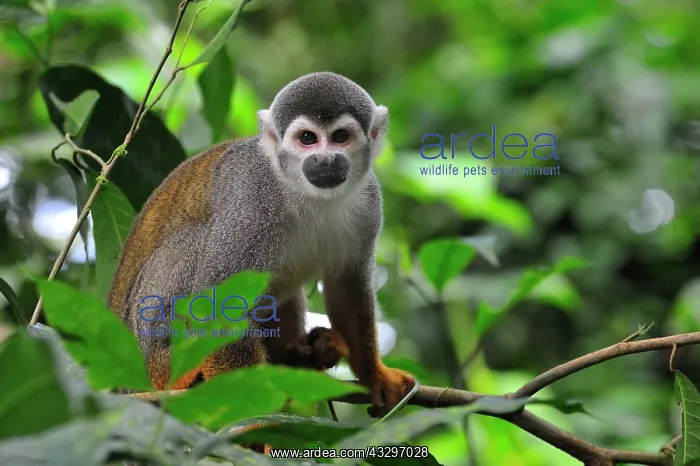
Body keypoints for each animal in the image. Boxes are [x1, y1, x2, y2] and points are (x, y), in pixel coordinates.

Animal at [107, 71, 416, 418]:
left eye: (340, 137)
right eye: (307, 139)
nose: (324, 160)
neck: (304, 193)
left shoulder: (369, 203)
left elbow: (346, 287)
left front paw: (374, 375)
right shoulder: (251, 202)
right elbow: (218, 301)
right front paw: (252, 410)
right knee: (191, 242)